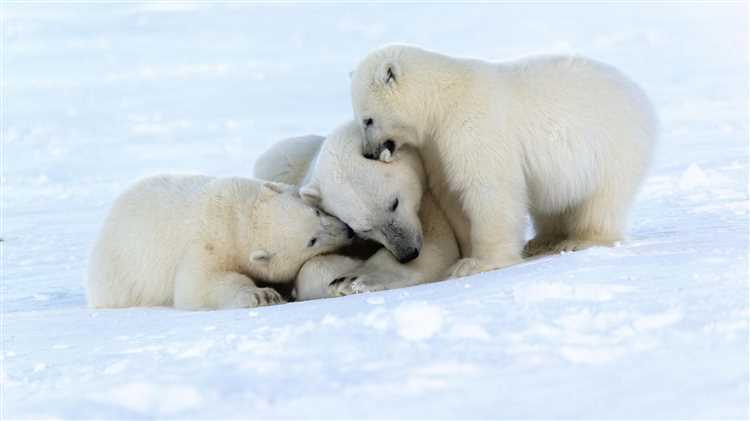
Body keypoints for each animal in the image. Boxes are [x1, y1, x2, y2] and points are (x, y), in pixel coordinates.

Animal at [86, 174, 356, 308]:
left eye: (317, 212)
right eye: (311, 241)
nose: (347, 231)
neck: (238, 218)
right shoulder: (207, 245)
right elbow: (197, 286)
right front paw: (262, 296)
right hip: (121, 277)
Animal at [352, 45, 656, 278]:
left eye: (368, 119)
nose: (368, 153)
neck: (441, 100)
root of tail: (640, 96)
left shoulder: (472, 125)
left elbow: (488, 188)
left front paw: (476, 263)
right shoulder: (436, 148)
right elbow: (452, 196)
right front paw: (465, 254)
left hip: (611, 147)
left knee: (601, 200)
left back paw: (581, 240)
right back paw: (543, 241)